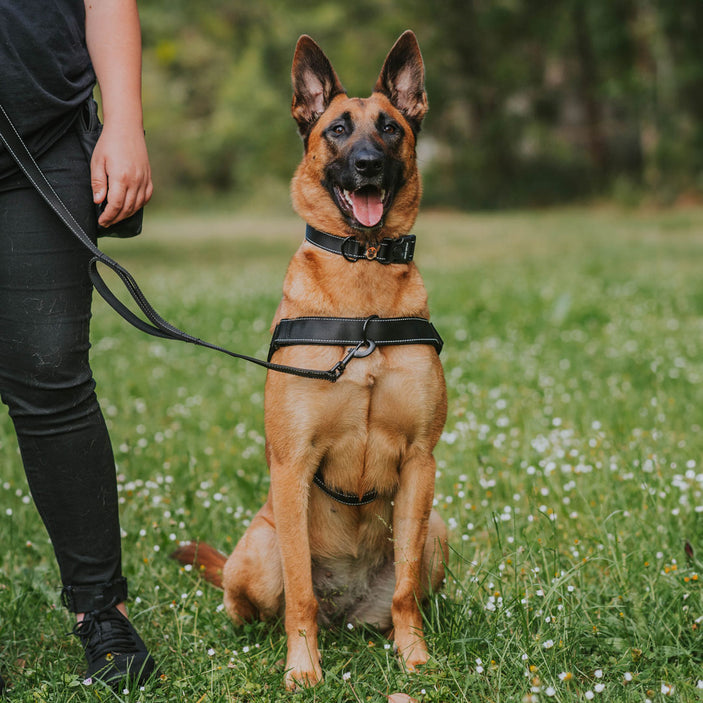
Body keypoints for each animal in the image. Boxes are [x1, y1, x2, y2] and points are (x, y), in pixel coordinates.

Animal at [176, 30, 452, 692]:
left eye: (390, 128)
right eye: (337, 129)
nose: (367, 165)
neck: (364, 287)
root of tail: (345, 612)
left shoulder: (421, 462)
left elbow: (405, 590)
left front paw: (414, 658)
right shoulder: (293, 463)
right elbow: (299, 592)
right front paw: (302, 669)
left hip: (436, 528)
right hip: (260, 547)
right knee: (252, 601)